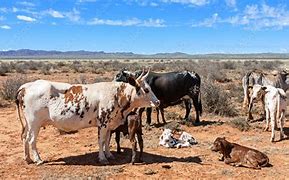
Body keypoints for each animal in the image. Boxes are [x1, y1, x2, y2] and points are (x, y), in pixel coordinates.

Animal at [14, 70, 159, 165]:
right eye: (146, 90)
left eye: (150, 87)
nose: (157, 102)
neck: (117, 94)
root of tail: (27, 86)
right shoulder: (103, 123)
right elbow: (101, 141)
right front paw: (102, 158)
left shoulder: (109, 125)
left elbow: (107, 141)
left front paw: (109, 154)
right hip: (34, 123)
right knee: (32, 140)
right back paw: (38, 159)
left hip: (28, 124)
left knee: (25, 138)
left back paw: (27, 159)